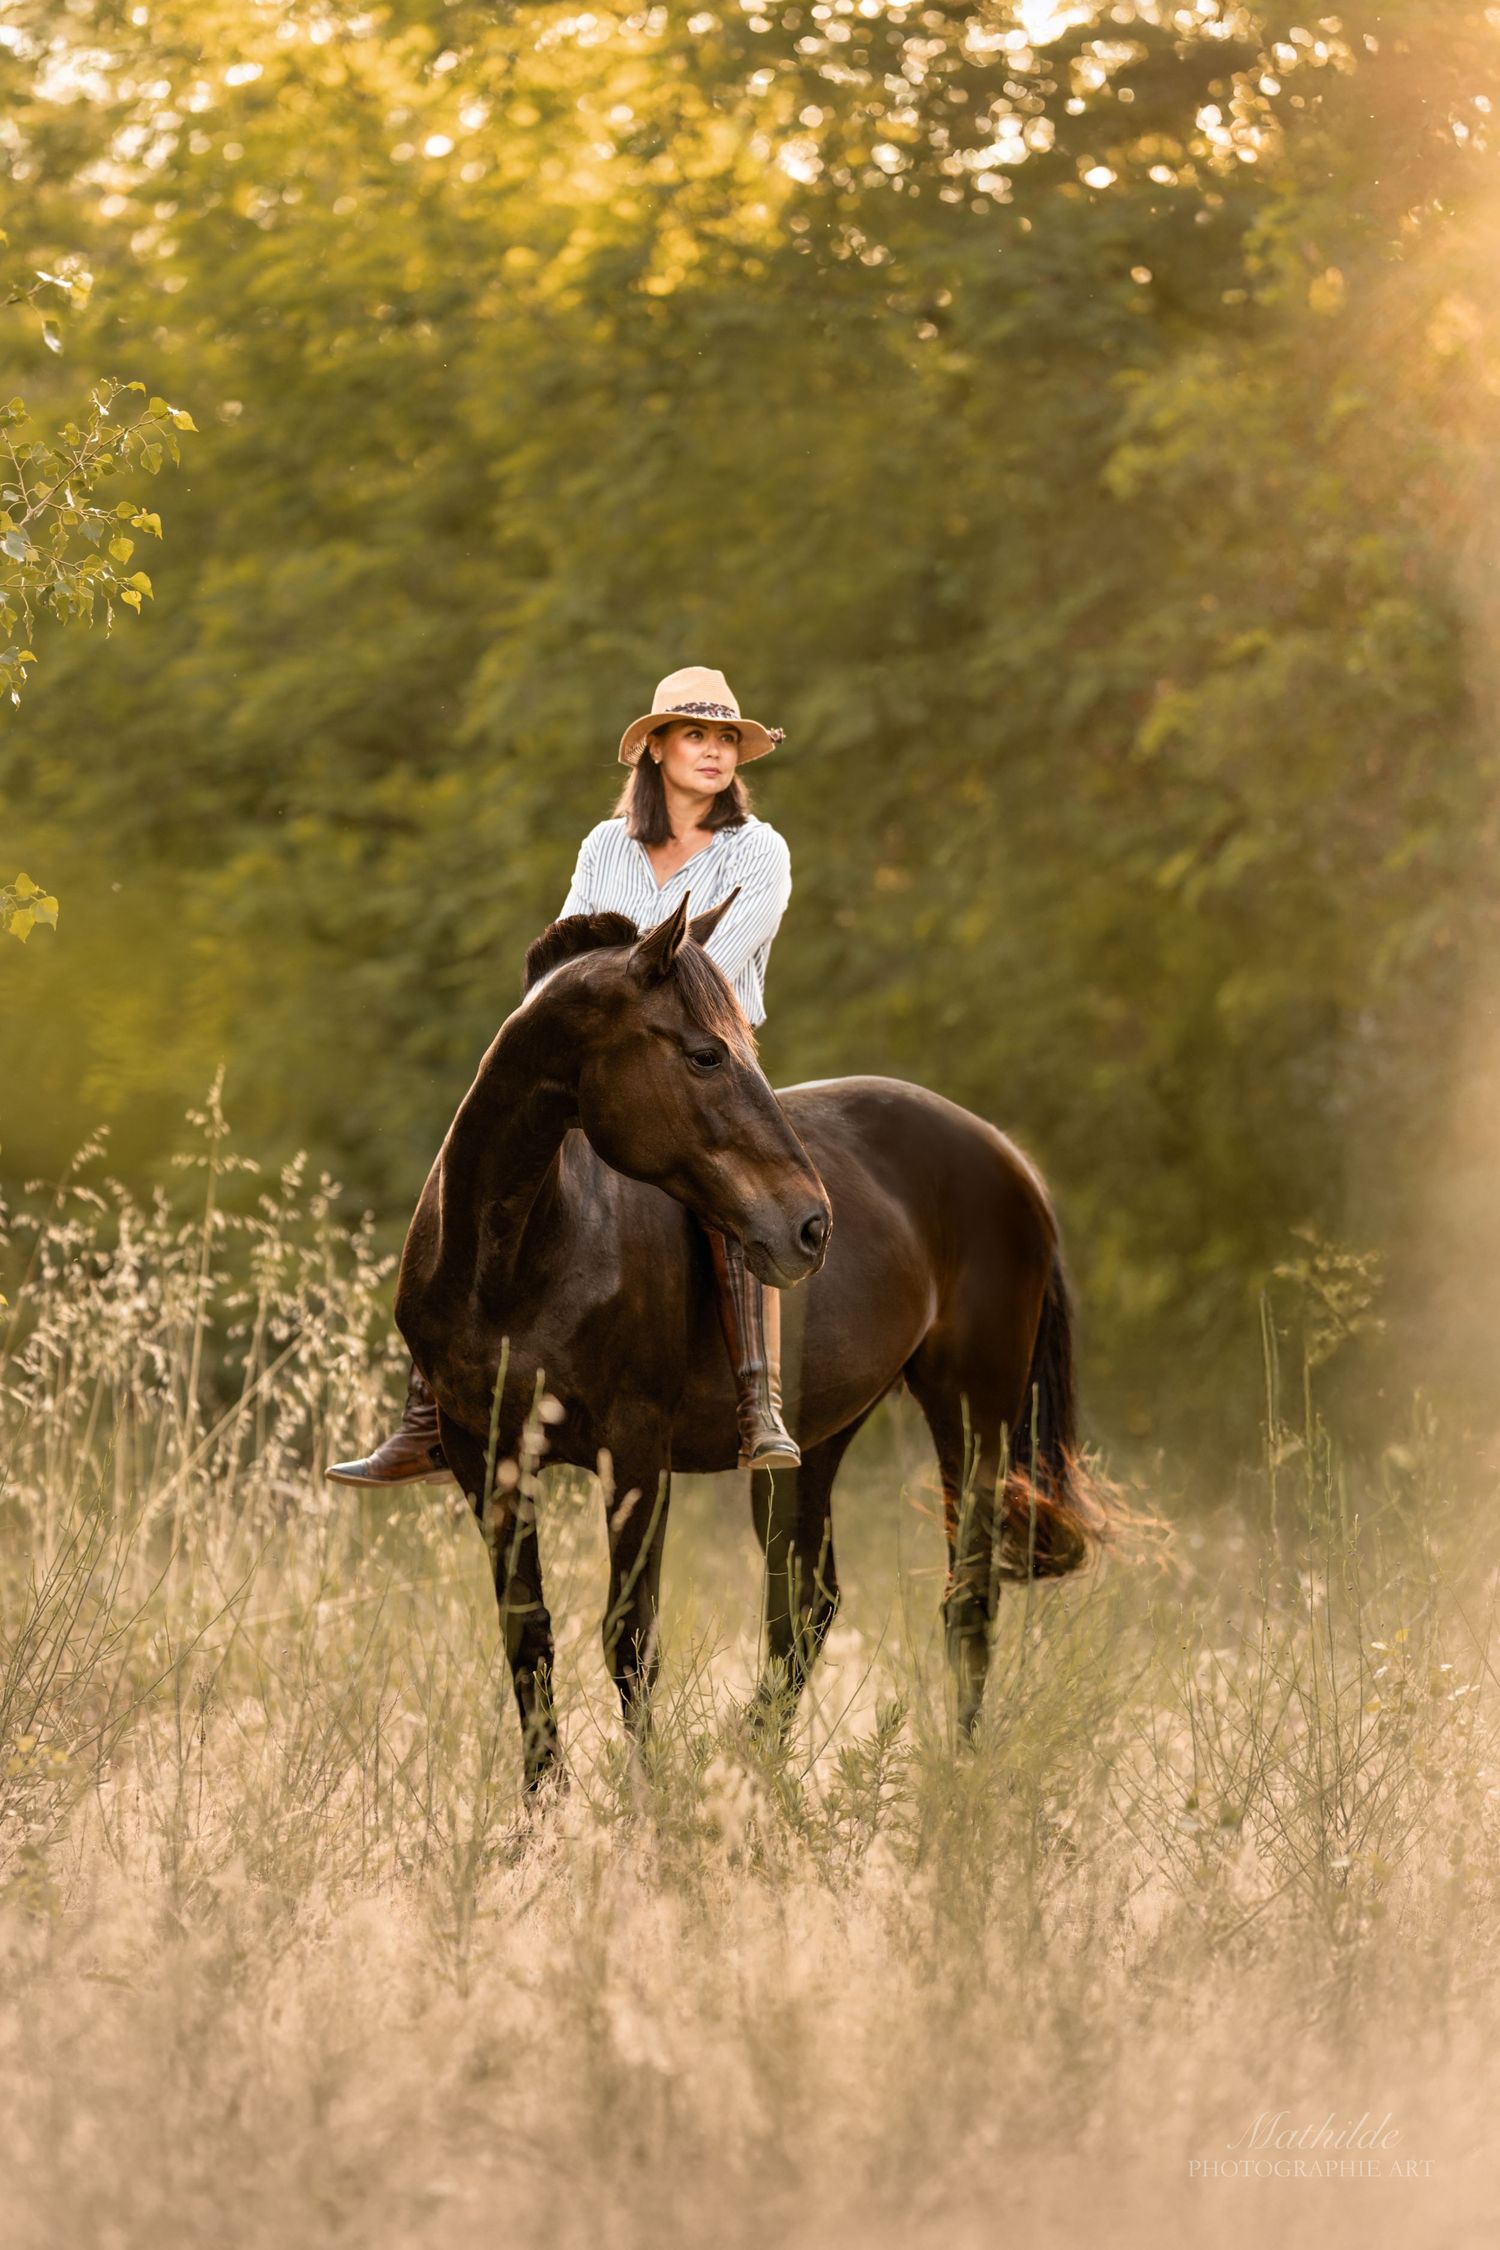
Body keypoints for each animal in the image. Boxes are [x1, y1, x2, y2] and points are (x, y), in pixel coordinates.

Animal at [394, 893, 1109, 1789]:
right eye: (704, 1055)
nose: (810, 1226)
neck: (520, 1256)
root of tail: (1010, 1160)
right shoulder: (484, 1455)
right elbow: (528, 1638)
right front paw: (541, 1810)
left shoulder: (635, 1455)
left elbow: (629, 1639)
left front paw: (646, 1800)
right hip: (816, 1440)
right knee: (807, 1605)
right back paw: (755, 1768)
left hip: (975, 1416)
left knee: (967, 1600)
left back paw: (954, 1778)